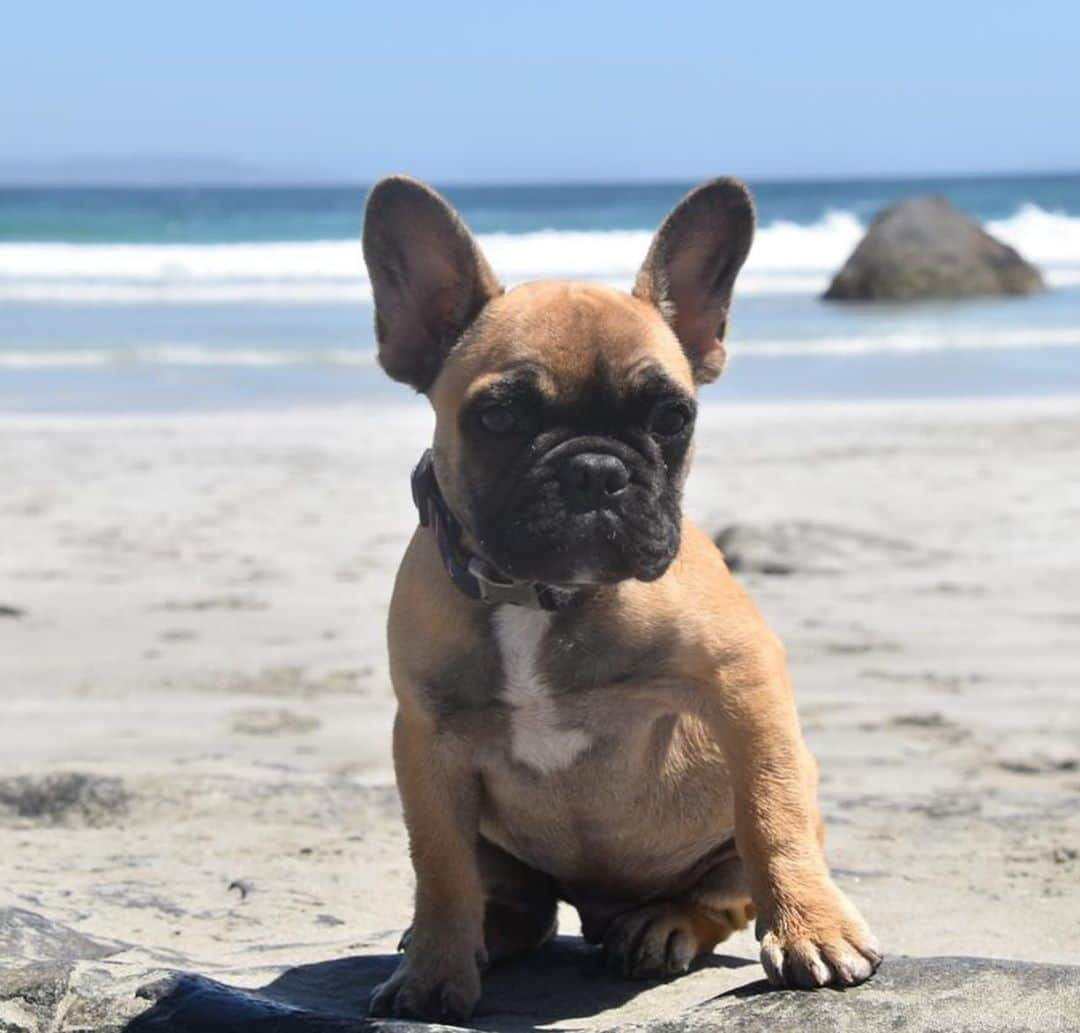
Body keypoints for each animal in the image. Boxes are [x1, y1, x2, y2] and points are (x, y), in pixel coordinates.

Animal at [360, 173, 876, 1020]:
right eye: (499, 415)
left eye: (673, 417)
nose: (597, 471)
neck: (543, 596)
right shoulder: (426, 740)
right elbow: (437, 865)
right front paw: (434, 971)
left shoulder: (745, 682)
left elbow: (771, 812)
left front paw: (812, 929)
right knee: (519, 905)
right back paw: (486, 931)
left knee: (723, 891)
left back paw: (662, 925)